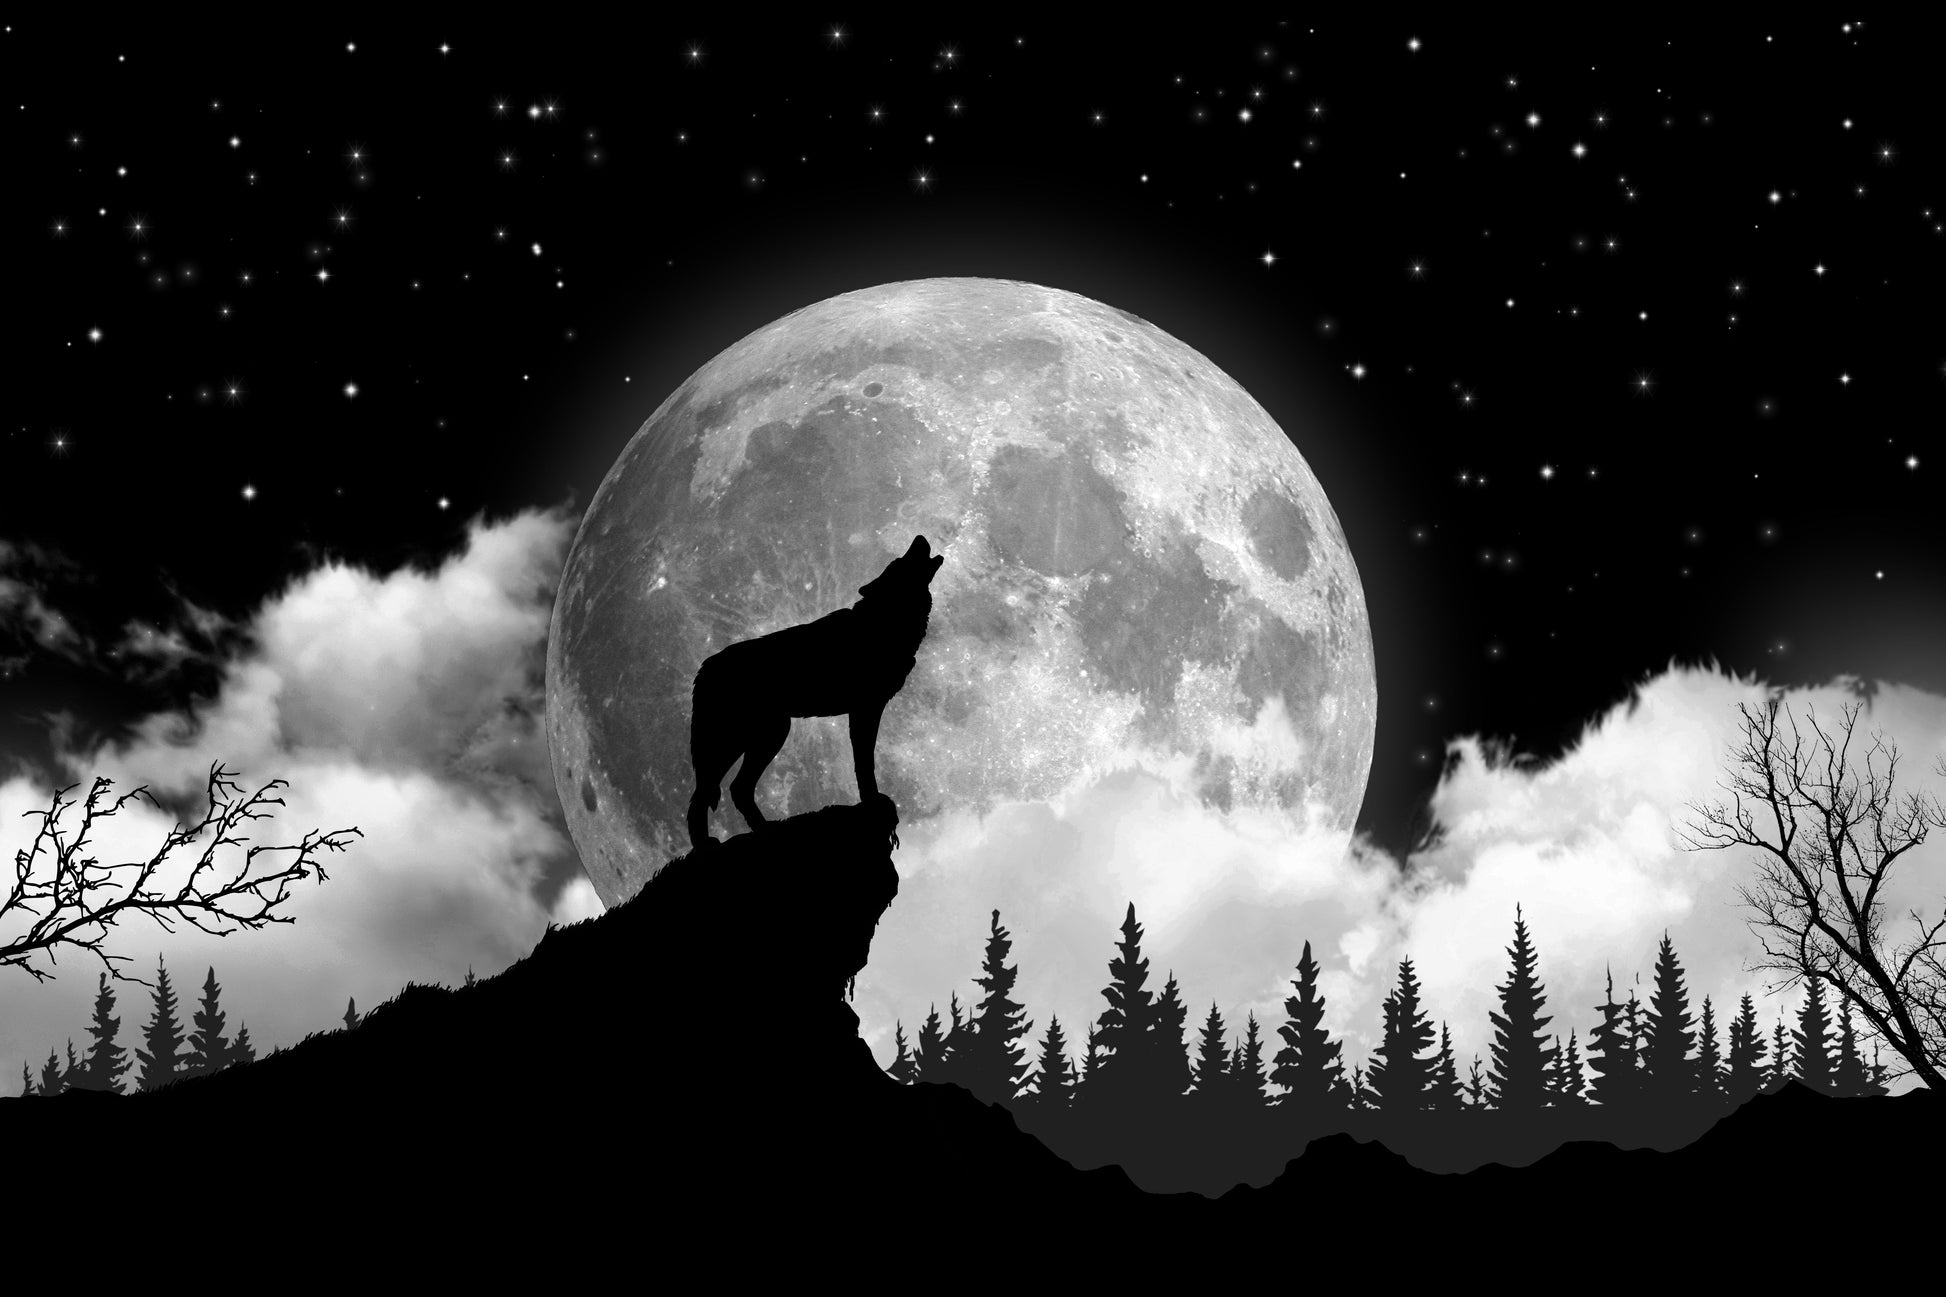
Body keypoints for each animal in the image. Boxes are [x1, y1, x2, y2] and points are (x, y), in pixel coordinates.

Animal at [686, 535, 944, 850]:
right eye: (899, 562)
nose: (919, 538)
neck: (881, 622)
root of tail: (704, 667)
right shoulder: (865, 709)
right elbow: (865, 763)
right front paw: (872, 801)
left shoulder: (867, 709)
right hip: (739, 739)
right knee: (705, 794)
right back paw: (706, 845)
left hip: (766, 735)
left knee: (735, 788)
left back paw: (765, 830)